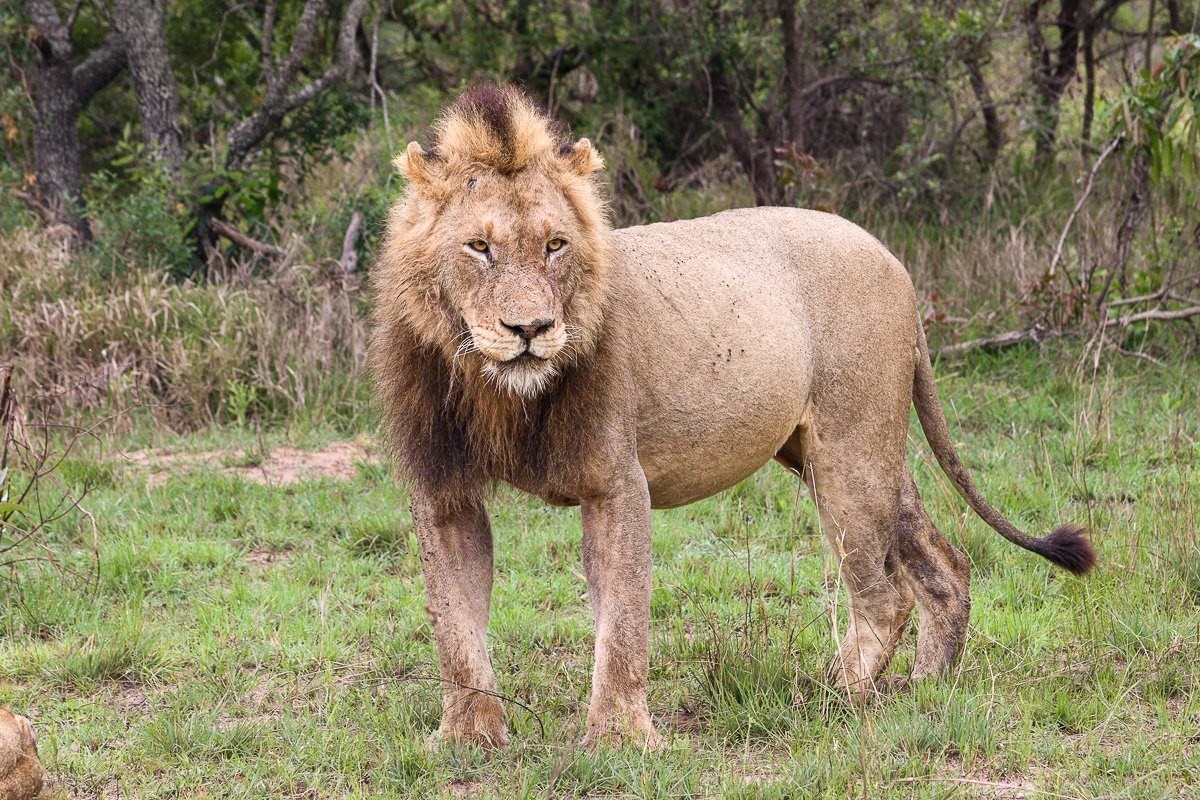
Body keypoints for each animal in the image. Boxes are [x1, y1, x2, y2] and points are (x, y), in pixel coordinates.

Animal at [369, 84, 1096, 749]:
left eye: (554, 244)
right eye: (477, 247)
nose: (531, 329)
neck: (500, 392)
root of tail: (892, 260)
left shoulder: (615, 481)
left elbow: (621, 622)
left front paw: (618, 740)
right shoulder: (443, 489)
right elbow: (455, 624)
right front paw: (467, 736)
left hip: (851, 449)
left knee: (885, 592)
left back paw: (833, 695)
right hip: (848, 450)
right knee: (943, 566)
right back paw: (927, 690)